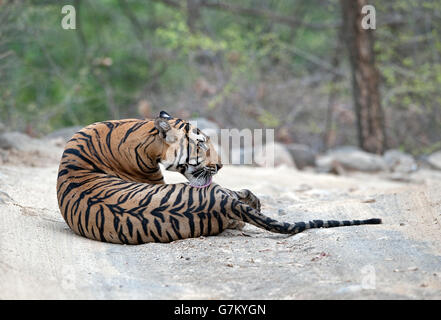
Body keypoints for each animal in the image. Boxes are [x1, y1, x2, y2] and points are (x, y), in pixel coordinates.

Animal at [56, 110, 380, 245]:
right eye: (200, 144)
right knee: (245, 200)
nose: (222, 165)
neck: (140, 133)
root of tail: (223, 204)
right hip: (225, 198)